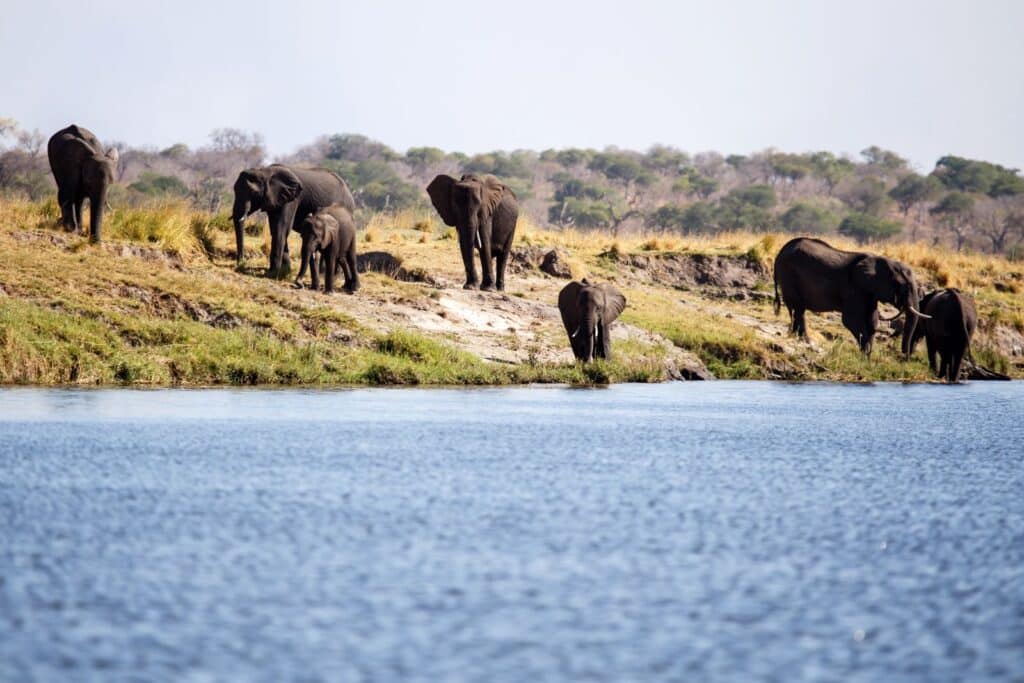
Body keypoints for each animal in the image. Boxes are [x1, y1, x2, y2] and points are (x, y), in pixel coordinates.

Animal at [770, 236, 933, 356]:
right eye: (900, 284)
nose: (906, 354)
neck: (880, 260)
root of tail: (779, 253)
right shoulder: (854, 288)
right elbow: (851, 320)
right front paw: (865, 353)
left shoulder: (869, 293)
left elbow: (872, 321)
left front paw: (867, 356)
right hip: (789, 275)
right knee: (798, 309)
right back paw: (805, 340)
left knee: (798, 310)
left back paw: (797, 337)